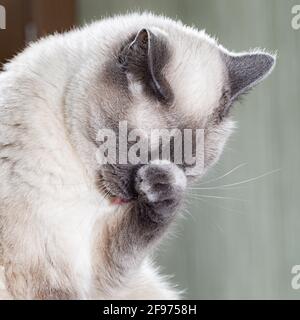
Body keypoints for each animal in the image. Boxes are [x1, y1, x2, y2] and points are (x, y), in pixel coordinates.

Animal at [0, 11, 276, 298]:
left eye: (187, 167)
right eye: (136, 148)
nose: (135, 193)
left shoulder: (97, 274)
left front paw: (163, 187)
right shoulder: (45, 269)